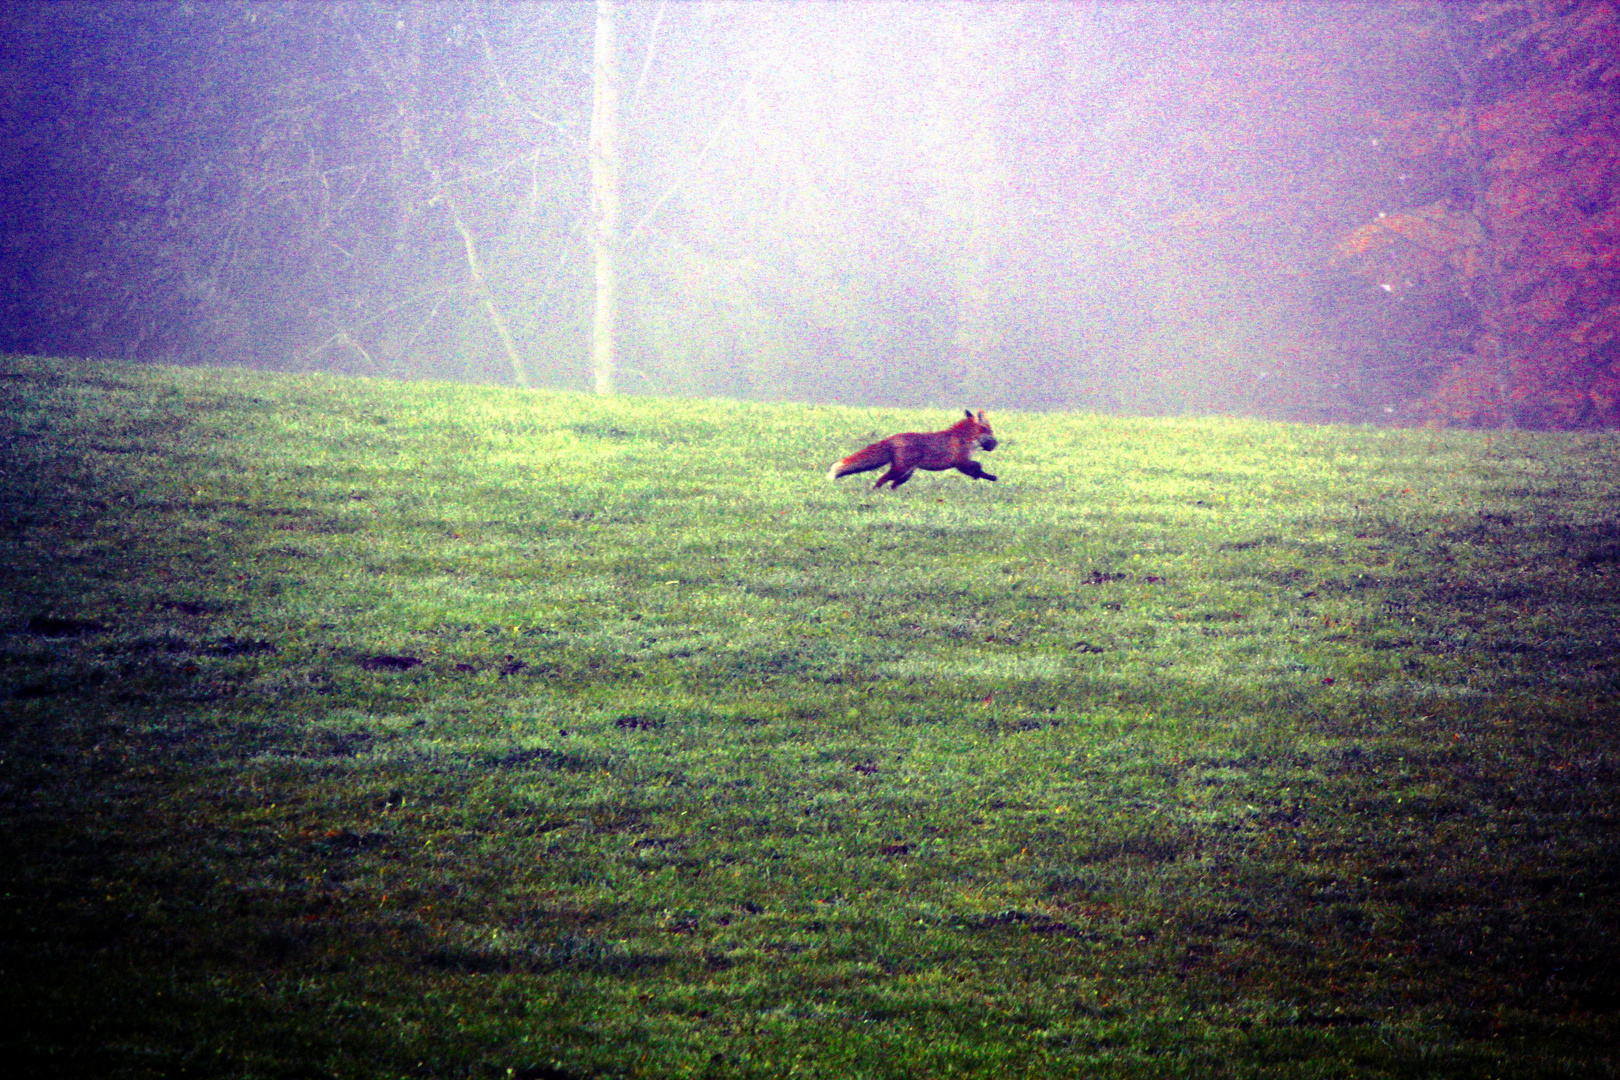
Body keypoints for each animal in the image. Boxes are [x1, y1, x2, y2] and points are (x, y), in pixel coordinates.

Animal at [829, 409, 991, 488]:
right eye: (990, 431)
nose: (994, 444)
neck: (964, 437)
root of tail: (894, 437)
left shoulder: (962, 462)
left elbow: (975, 469)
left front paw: (982, 476)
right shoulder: (959, 461)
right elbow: (976, 466)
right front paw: (986, 476)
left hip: (906, 473)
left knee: (892, 484)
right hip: (900, 470)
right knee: (881, 480)